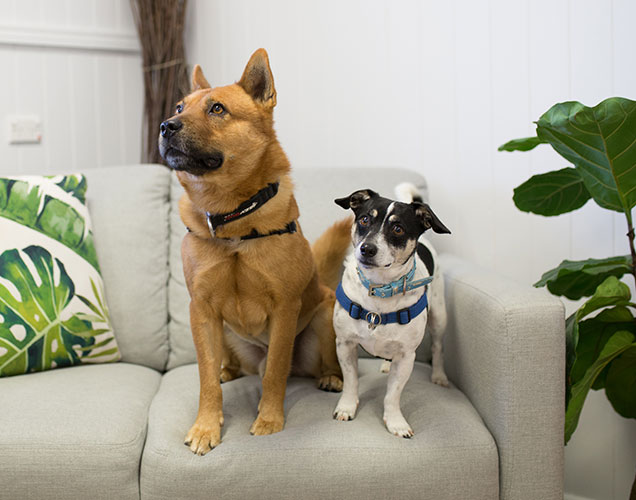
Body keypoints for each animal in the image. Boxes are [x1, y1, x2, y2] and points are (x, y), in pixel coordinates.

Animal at [159, 49, 348, 454]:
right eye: (179, 107)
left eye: (217, 109)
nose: (165, 126)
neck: (232, 223)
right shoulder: (202, 311)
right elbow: (205, 379)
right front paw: (206, 427)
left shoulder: (285, 308)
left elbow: (276, 371)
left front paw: (269, 420)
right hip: (228, 336)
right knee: (229, 367)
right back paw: (228, 370)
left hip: (324, 315)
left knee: (310, 363)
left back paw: (331, 377)